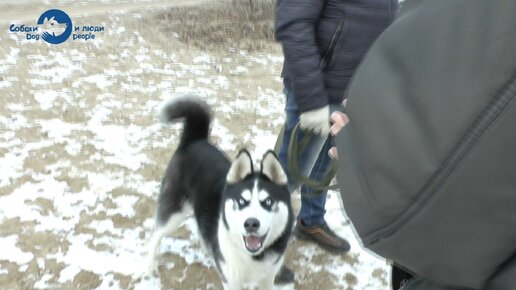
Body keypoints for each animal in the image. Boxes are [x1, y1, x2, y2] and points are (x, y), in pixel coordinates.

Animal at [146, 97, 294, 290]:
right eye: (241, 201)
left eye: (268, 202)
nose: (251, 224)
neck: (252, 257)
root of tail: (195, 140)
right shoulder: (231, 281)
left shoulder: (267, 278)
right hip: (174, 211)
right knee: (156, 233)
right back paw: (149, 264)